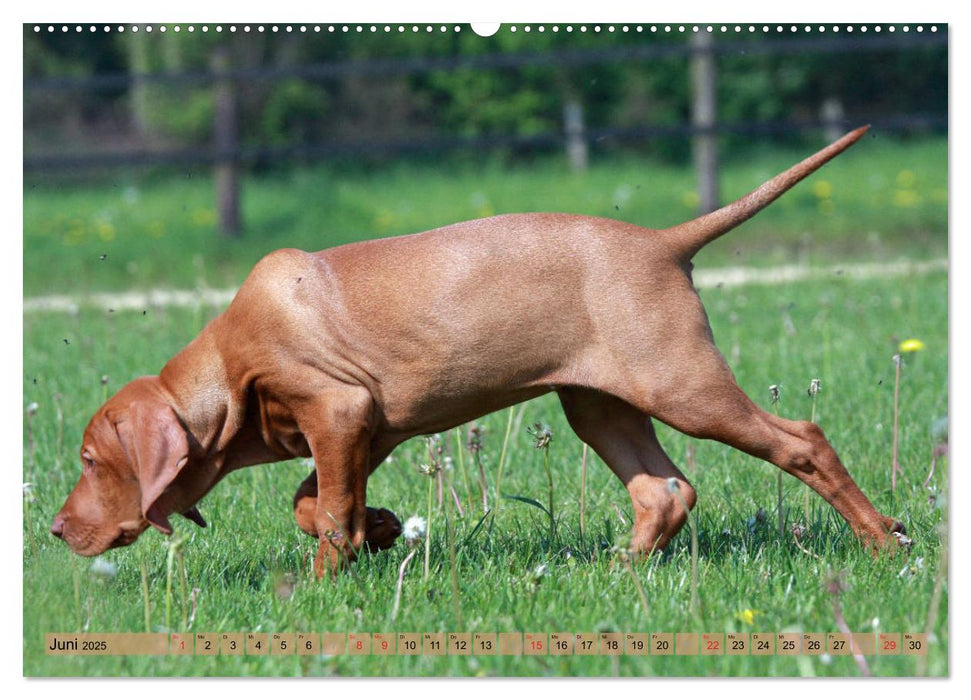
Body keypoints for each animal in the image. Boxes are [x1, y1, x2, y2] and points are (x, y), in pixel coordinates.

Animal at [51, 126, 904, 576]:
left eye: (91, 461)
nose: (56, 532)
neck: (232, 366)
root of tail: (663, 241)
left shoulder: (340, 410)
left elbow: (324, 514)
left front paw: (325, 579)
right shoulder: (368, 427)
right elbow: (314, 502)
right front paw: (380, 529)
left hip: (682, 386)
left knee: (801, 441)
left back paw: (882, 540)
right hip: (600, 404)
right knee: (663, 490)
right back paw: (618, 572)